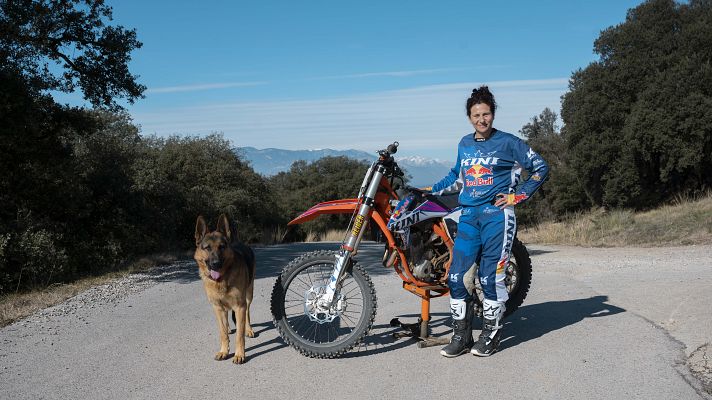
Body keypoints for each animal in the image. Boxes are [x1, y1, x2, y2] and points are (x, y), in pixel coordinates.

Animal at [195, 214, 256, 364]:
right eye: (207, 248)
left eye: (221, 247)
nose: (216, 264)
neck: (222, 280)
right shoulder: (217, 307)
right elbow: (222, 333)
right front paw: (224, 351)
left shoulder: (240, 307)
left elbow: (239, 335)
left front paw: (239, 355)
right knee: (227, 319)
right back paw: (229, 329)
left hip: (249, 296)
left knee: (247, 314)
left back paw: (249, 329)